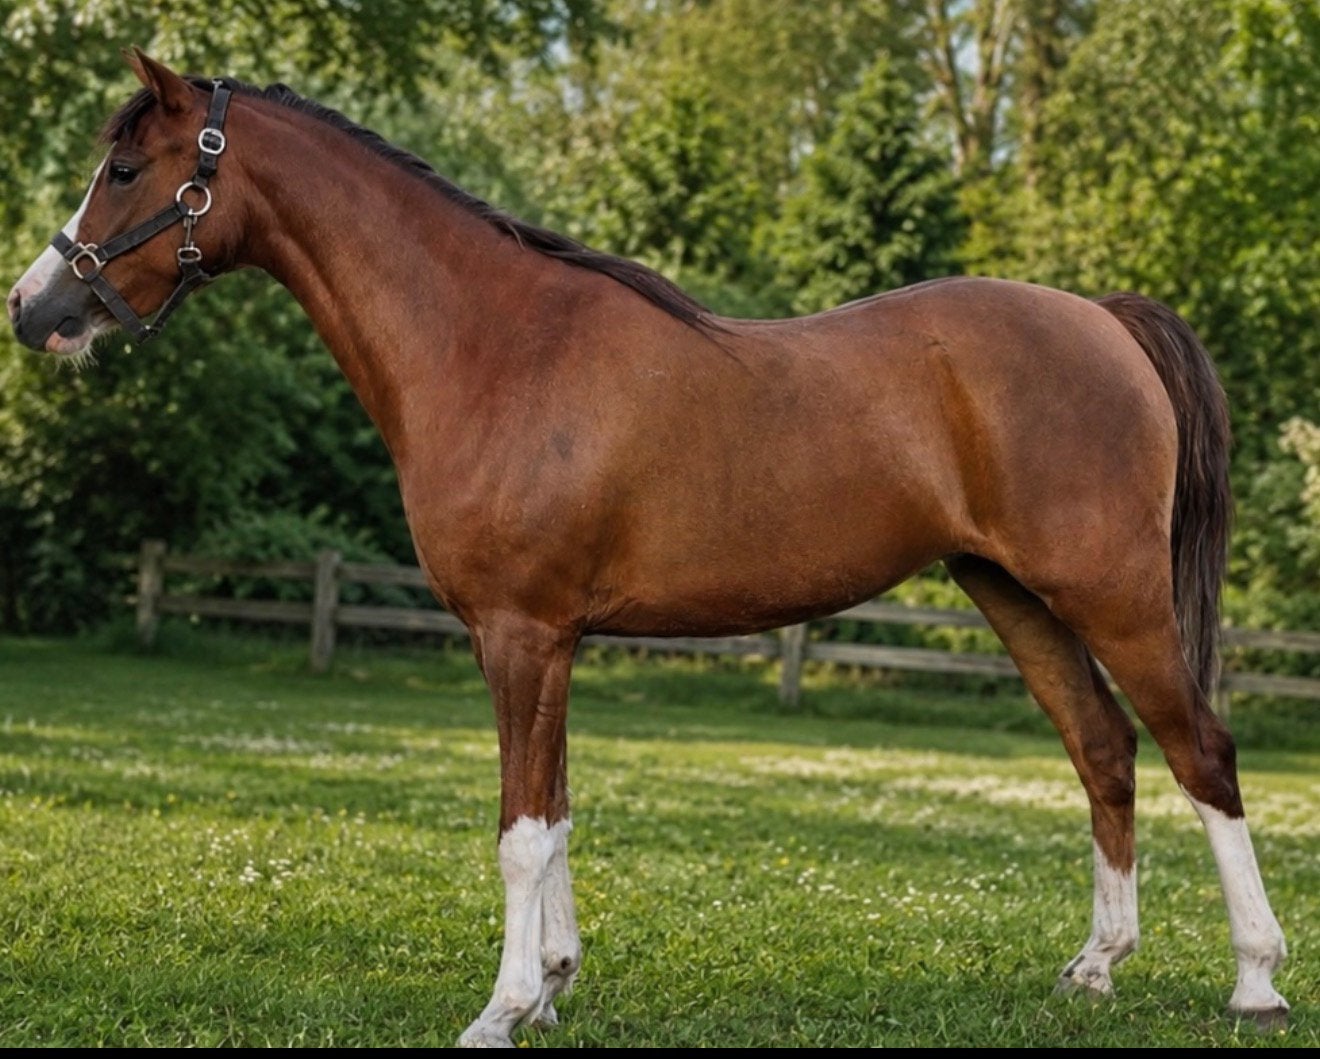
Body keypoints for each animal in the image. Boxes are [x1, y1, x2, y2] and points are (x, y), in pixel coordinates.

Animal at [7, 50, 1288, 1046]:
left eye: (127, 170)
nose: (33, 309)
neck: (492, 344)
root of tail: (1103, 317)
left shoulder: (523, 634)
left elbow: (521, 832)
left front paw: (499, 1010)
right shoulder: (545, 641)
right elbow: (559, 811)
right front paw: (550, 988)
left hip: (1113, 594)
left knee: (1202, 753)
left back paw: (1257, 982)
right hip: (1015, 595)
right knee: (1104, 751)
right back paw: (1095, 968)